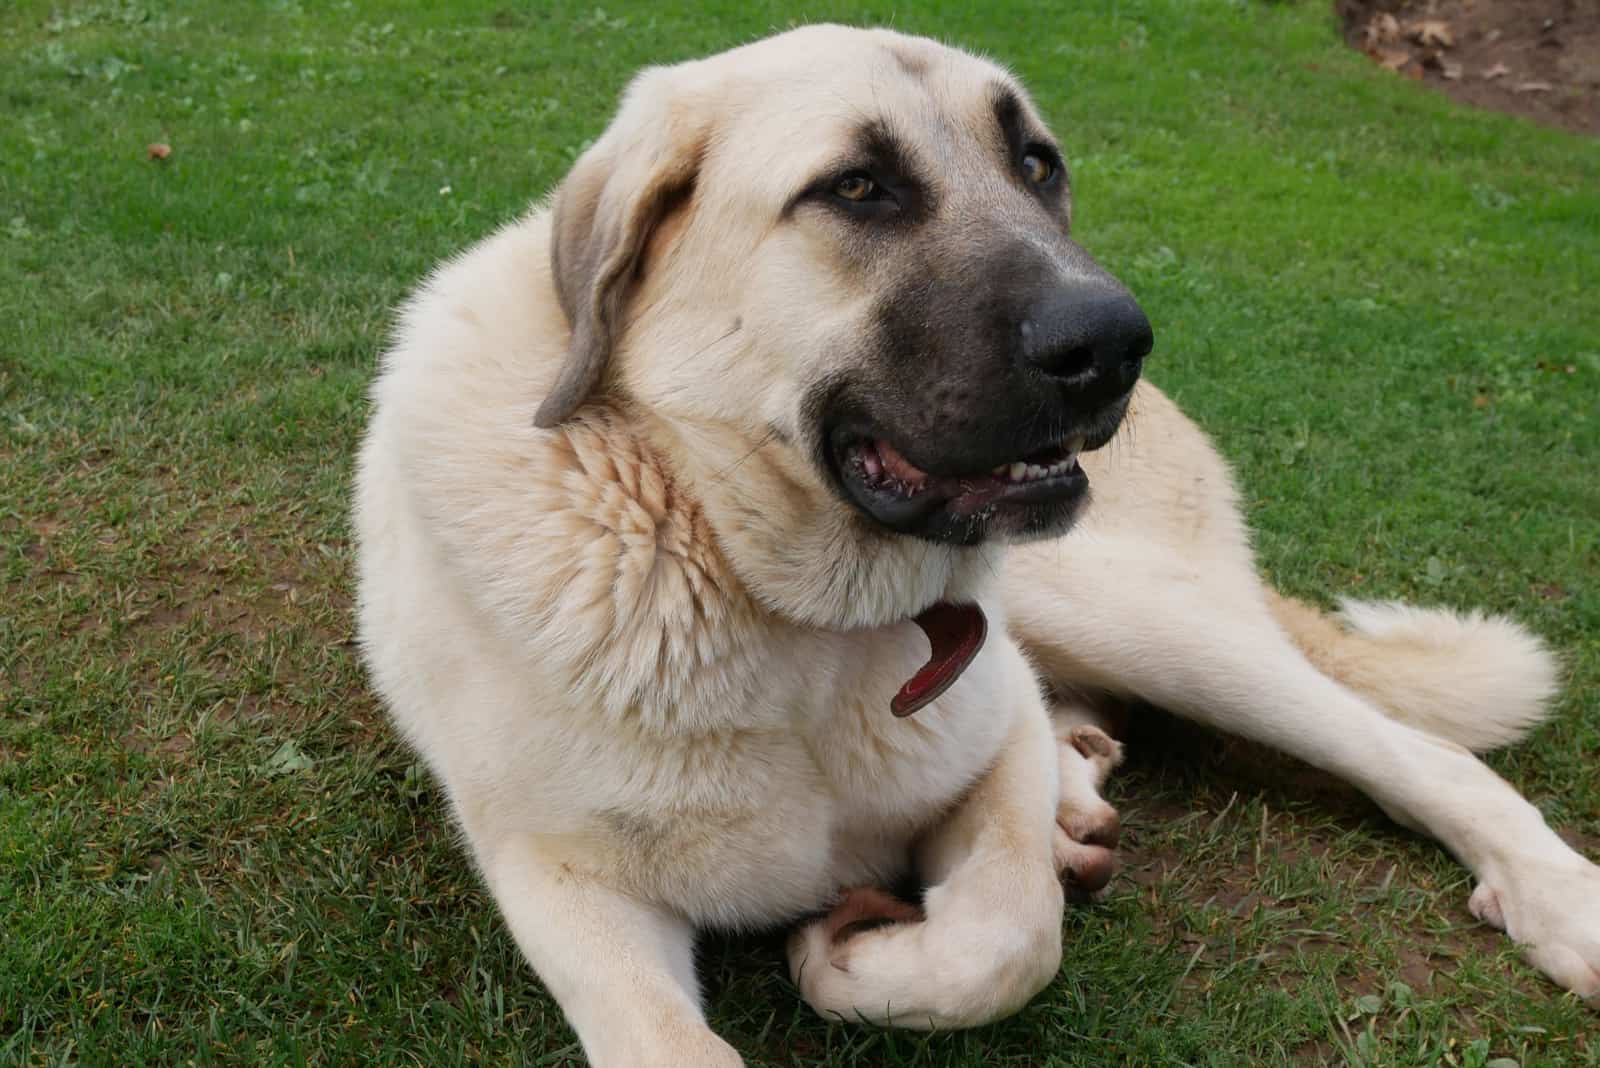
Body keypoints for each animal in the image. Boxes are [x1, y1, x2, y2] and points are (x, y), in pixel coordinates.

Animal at [353, 20, 1600, 1061]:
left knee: (1414, 753)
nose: (1114, 342)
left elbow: (1004, 937)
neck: (775, 607)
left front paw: (856, 955)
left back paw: (1560, 902)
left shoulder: (991, 739)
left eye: (1036, 165)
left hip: (1124, 610)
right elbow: (673, 1043)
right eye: (858, 188)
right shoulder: (562, 882)